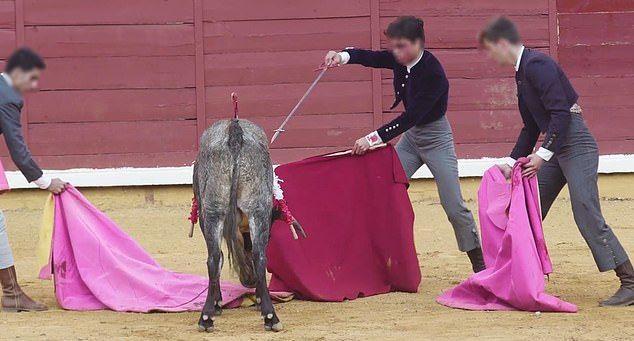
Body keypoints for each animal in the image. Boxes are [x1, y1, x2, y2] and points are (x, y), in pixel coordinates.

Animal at [193, 118, 282, 330]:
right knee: (258, 257)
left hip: (213, 211)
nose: (249, 281)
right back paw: (269, 316)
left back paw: (208, 315)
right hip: (256, 208)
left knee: (215, 258)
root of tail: (235, 129)